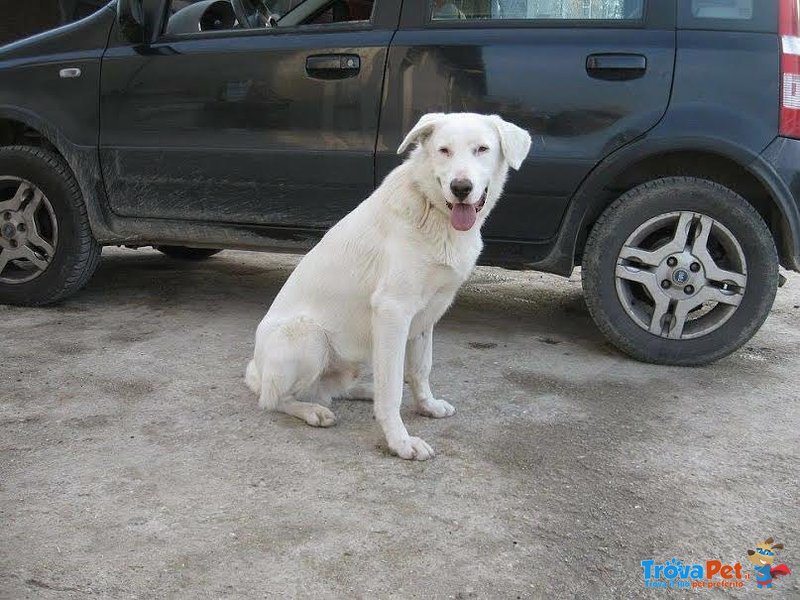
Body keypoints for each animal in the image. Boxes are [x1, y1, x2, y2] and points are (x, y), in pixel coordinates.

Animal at [244, 112, 532, 460]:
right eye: (444, 150)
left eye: (482, 149)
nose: (461, 188)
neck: (432, 210)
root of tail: (257, 371)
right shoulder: (393, 311)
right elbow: (393, 388)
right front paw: (400, 442)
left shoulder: (426, 315)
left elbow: (420, 369)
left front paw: (426, 406)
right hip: (308, 336)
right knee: (277, 399)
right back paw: (312, 411)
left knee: (330, 389)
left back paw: (363, 391)